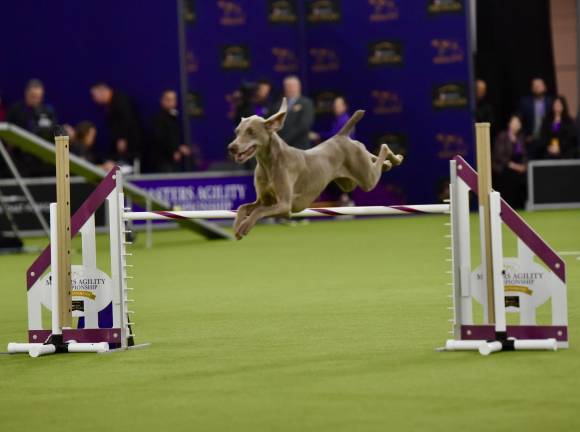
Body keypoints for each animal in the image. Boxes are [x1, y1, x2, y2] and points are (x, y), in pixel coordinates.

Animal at [227, 98, 404, 240]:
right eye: (237, 131)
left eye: (251, 131)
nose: (232, 147)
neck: (268, 163)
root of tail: (340, 135)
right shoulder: (264, 201)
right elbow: (244, 207)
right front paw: (237, 225)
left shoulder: (284, 205)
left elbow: (258, 212)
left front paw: (245, 226)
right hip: (350, 181)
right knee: (367, 152)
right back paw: (389, 163)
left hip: (367, 180)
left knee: (383, 146)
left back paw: (394, 157)